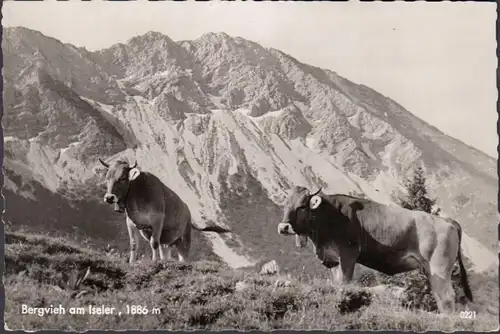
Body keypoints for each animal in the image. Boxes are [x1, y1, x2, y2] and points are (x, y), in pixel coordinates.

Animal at [98, 159, 230, 264]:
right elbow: (133, 245)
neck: (138, 195)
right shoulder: (130, 222)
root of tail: (187, 210)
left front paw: (154, 262)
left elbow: (153, 243)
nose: (109, 197)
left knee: (184, 256)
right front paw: (131, 262)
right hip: (167, 240)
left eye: (123, 178)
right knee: (165, 252)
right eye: (107, 178)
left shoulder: (157, 220)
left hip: (184, 238)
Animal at [278, 187, 472, 314]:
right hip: (431, 271)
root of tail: (447, 221)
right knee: (439, 296)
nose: (283, 227)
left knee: (447, 297)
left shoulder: (348, 253)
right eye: (285, 204)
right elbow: (336, 283)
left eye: (302, 206)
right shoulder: (332, 259)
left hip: (440, 267)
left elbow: (345, 282)